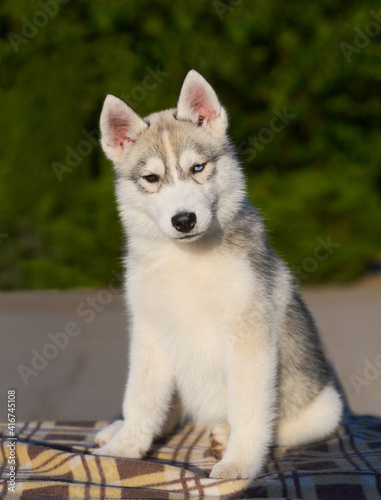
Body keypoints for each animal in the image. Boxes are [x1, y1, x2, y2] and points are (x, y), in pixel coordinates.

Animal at [93, 69, 342, 476]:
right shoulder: (149, 331)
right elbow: (141, 399)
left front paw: (239, 465)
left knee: (279, 425)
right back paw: (115, 430)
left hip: (325, 408)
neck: (186, 259)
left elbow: (248, 409)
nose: (184, 220)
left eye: (198, 168)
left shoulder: (248, 334)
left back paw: (225, 435)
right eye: (151, 179)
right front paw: (125, 447)